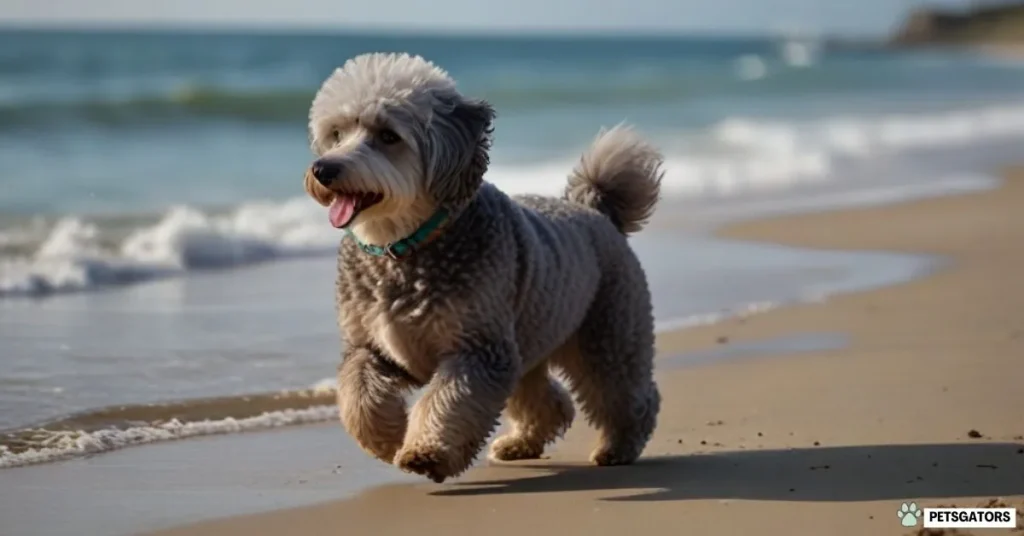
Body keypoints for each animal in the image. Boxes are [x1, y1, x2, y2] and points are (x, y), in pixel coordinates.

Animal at [303, 52, 663, 483]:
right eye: (336, 133)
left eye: (388, 136)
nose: (324, 169)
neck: (403, 247)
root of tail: (595, 210)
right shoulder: (371, 348)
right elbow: (358, 392)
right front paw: (386, 439)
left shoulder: (477, 351)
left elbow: (449, 401)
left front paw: (428, 451)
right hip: (526, 345)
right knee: (548, 401)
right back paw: (519, 444)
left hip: (607, 339)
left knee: (628, 397)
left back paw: (618, 447)